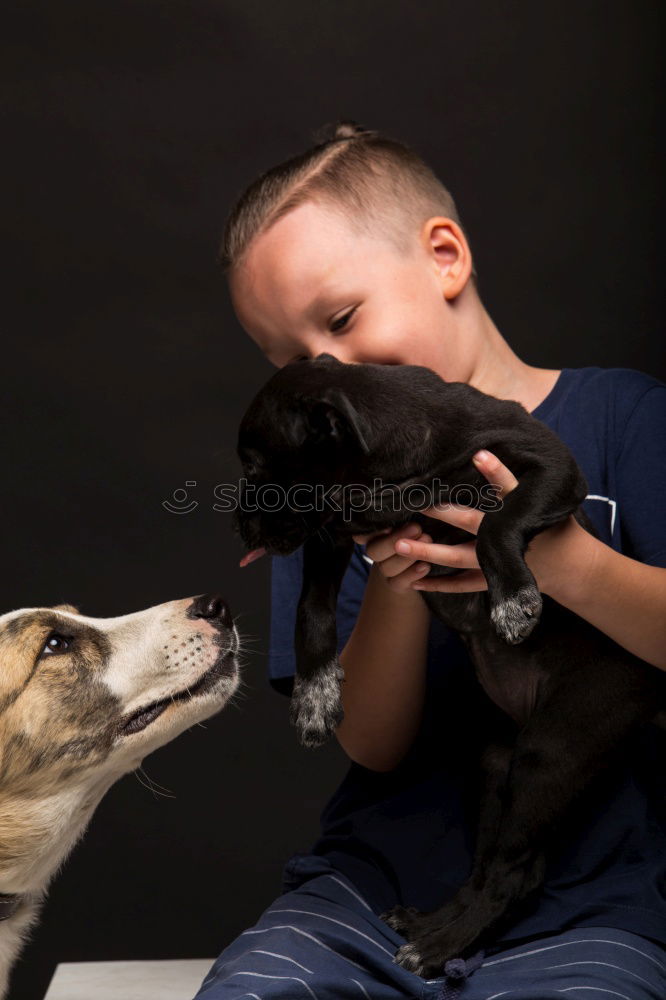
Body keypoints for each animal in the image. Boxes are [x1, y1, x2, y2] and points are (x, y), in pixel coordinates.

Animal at [233, 356, 660, 972]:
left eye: (256, 468)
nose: (237, 523)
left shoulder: (547, 461)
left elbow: (495, 525)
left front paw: (513, 600)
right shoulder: (331, 533)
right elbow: (309, 611)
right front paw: (315, 695)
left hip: (552, 750)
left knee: (512, 875)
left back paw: (439, 947)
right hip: (494, 765)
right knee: (487, 869)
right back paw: (429, 928)